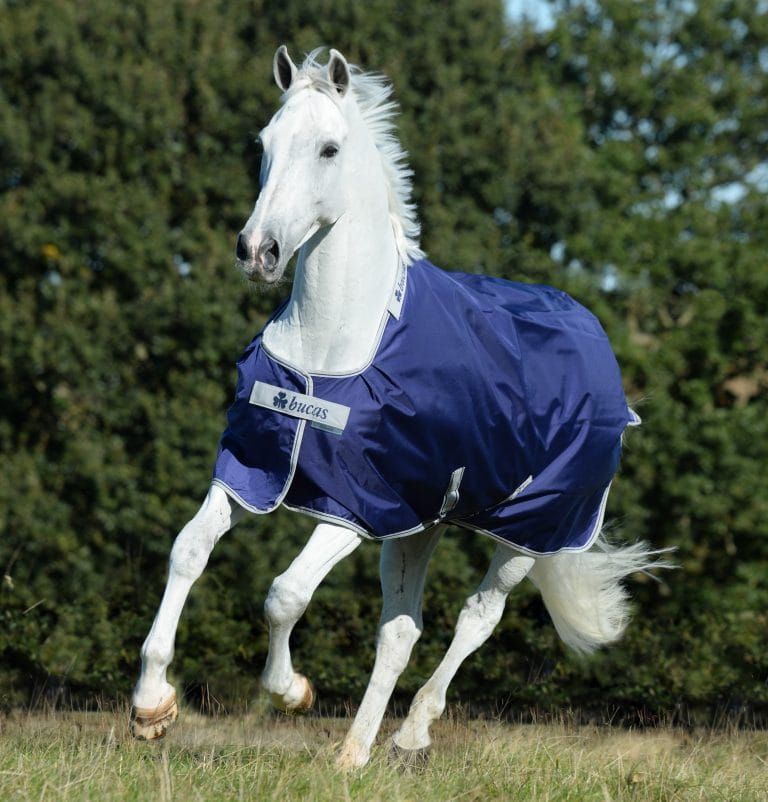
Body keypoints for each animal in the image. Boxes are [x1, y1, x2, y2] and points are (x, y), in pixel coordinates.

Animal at [130, 46, 669, 769]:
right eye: (265, 143)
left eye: (329, 148)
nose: (257, 252)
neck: (333, 345)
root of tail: (601, 351)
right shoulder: (254, 472)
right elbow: (189, 550)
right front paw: (151, 706)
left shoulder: (356, 507)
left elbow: (285, 594)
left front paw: (292, 691)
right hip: (422, 527)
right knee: (401, 630)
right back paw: (354, 753)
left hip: (529, 533)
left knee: (476, 618)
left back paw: (410, 734)